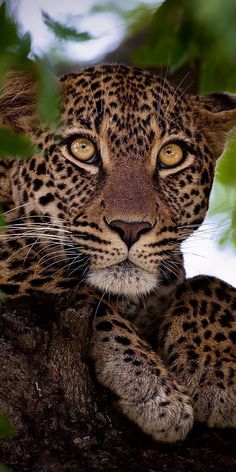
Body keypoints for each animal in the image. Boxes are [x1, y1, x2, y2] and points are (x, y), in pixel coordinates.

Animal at [0, 64, 235, 444]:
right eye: (82, 149)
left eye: (171, 154)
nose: (130, 228)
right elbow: (75, 285)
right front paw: (150, 384)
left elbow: (209, 281)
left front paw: (215, 373)